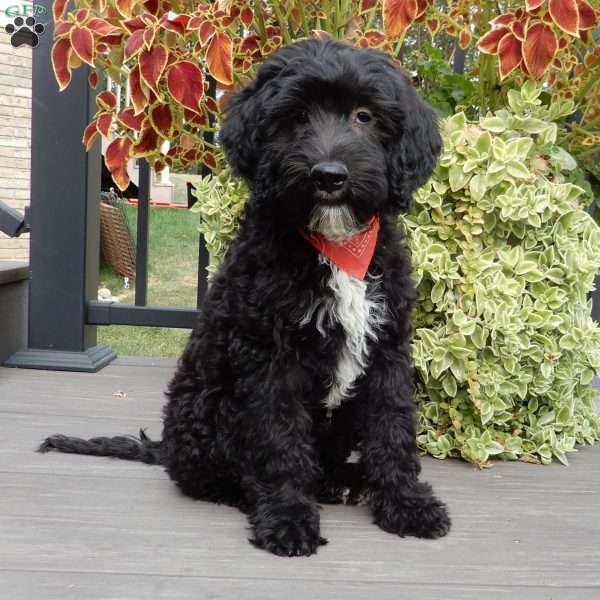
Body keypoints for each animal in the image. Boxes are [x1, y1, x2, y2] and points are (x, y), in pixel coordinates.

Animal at [41, 38, 450, 556]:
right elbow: (280, 440)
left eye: (365, 115)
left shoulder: (387, 350)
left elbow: (393, 428)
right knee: (203, 476)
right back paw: (254, 494)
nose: (329, 176)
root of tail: (165, 445)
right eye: (296, 116)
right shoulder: (268, 356)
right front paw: (289, 518)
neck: (334, 246)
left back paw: (344, 480)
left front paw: (408, 504)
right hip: (203, 409)